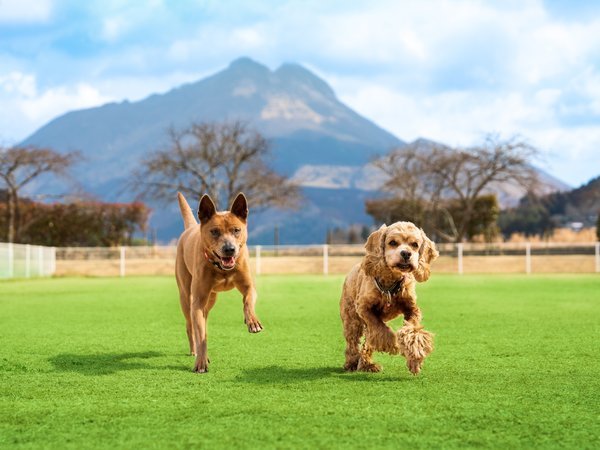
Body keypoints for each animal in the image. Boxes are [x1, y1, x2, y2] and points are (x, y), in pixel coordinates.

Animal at [177, 193, 264, 372]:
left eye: (236, 230)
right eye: (215, 231)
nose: (229, 249)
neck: (221, 268)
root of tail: (191, 227)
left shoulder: (249, 286)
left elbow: (247, 301)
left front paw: (252, 321)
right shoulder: (197, 301)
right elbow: (200, 333)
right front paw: (201, 362)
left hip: (212, 298)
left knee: (204, 319)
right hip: (185, 295)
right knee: (191, 325)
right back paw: (195, 350)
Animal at [340, 221, 438, 372]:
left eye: (415, 244)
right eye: (392, 242)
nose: (406, 253)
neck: (391, 282)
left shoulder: (412, 308)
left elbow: (411, 329)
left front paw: (415, 354)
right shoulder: (364, 308)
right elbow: (379, 328)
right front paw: (392, 344)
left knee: (368, 341)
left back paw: (367, 364)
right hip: (351, 318)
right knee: (353, 341)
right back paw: (352, 363)